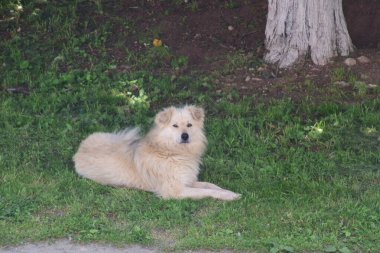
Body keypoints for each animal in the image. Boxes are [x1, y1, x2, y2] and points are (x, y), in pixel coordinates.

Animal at [72, 104, 240, 200]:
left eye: (189, 125)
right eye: (175, 126)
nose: (185, 136)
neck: (170, 152)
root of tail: (79, 149)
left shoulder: (187, 180)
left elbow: (210, 185)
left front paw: (228, 190)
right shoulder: (174, 190)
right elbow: (207, 192)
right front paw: (229, 196)